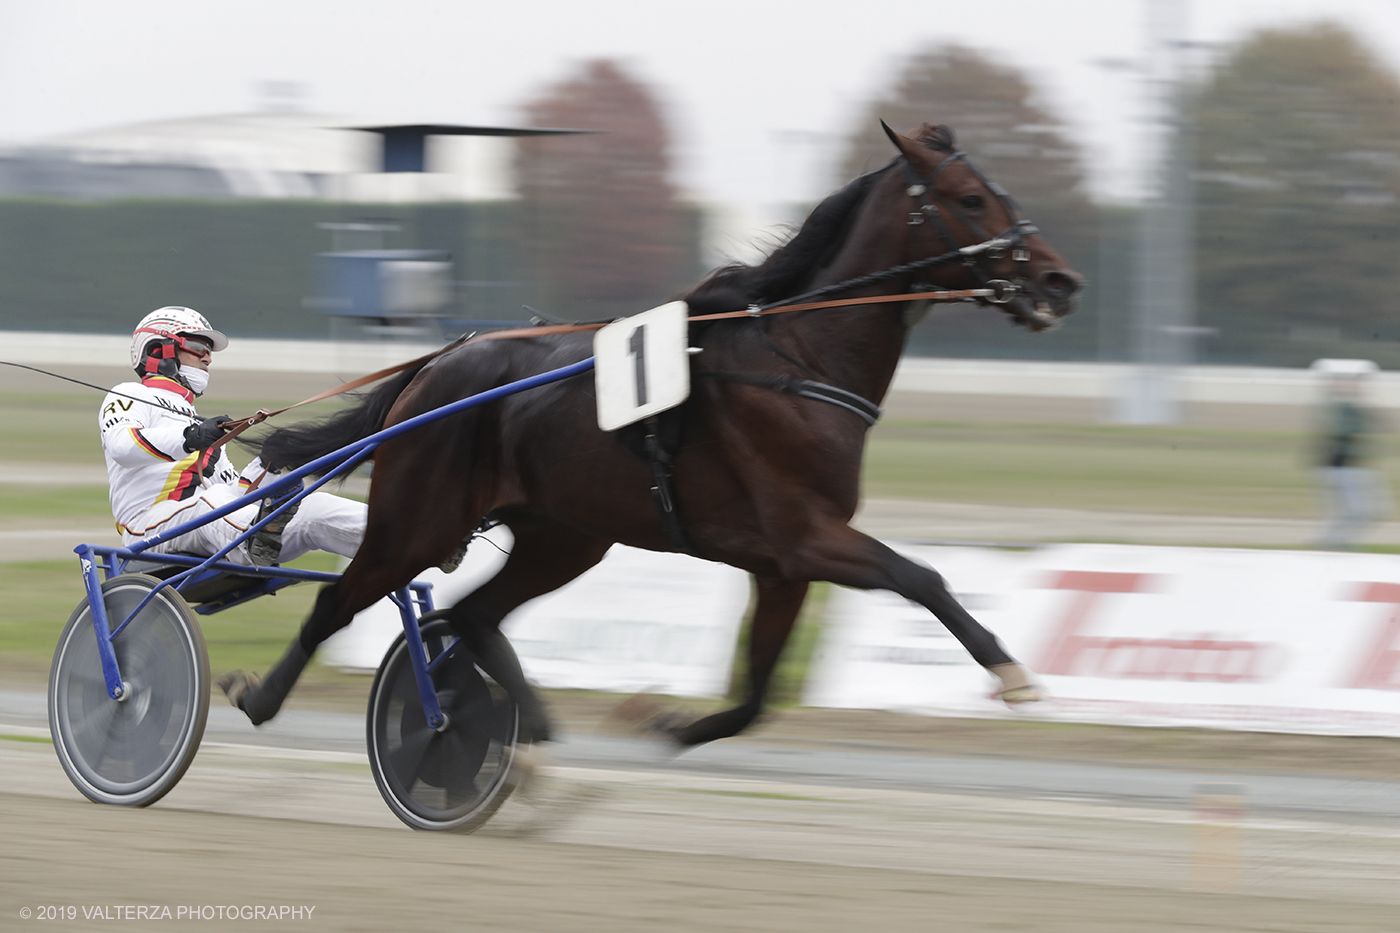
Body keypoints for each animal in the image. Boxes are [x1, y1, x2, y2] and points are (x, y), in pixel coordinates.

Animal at [218, 123, 1080, 745]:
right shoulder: (807, 534)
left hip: (564, 534)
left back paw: (524, 727)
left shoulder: (783, 563)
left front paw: (667, 721)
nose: (1058, 279)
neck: (798, 360)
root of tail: (437, 363)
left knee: (474, 615)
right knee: (340, 604)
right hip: (419, 519)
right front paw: (1011, 672)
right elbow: (922, 577)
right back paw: (261, 697)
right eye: (971, 198)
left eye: (998, 191)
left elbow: (757, 692)